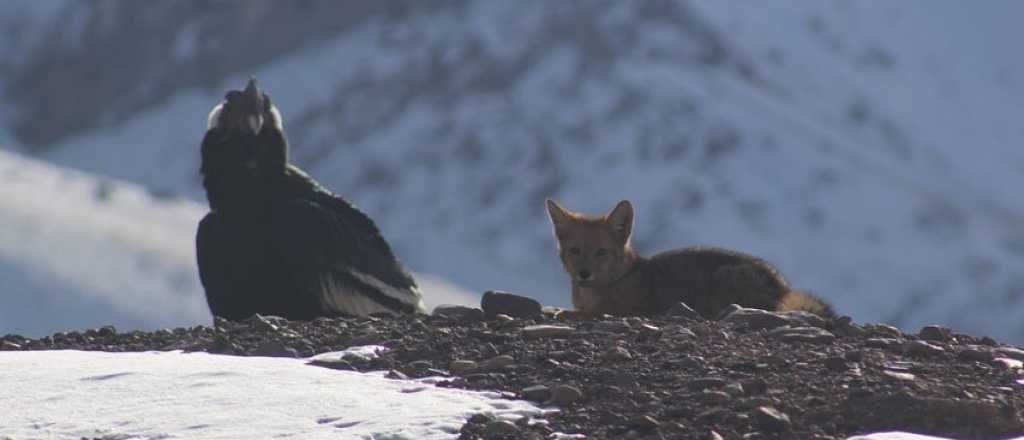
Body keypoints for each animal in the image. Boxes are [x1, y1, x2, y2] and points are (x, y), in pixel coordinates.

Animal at [545, 199, 834, 319]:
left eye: (601, 252)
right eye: (575, 250)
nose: (584, 273)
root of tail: (782, 287)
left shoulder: (632, 309)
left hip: (723, 276)